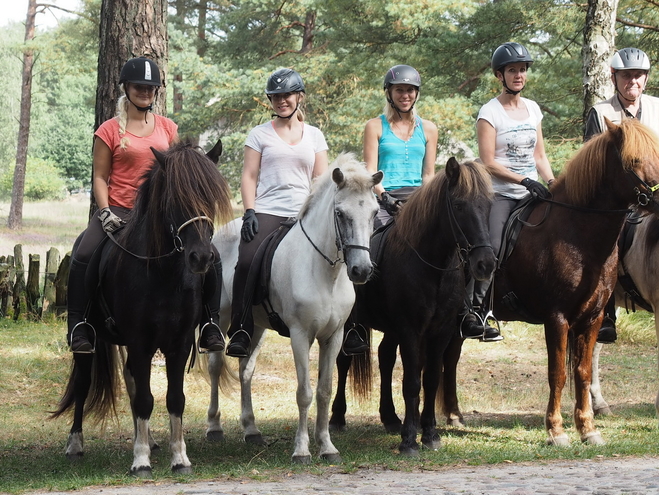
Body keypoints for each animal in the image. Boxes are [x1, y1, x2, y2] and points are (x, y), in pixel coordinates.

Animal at [206, 155, 382, 464]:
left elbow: (323, 391)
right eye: (340, 214)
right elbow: (304, 393)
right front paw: (301, 450)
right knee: (216, 367)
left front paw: (327, 446)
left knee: (245, 369)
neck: (324, 271)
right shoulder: (301, 336)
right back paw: (214, 427)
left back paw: (251, 430)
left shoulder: (333, 337)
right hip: (224, 318)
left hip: (256, 326)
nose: (361, 270)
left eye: (374, 213)